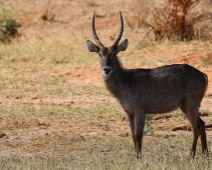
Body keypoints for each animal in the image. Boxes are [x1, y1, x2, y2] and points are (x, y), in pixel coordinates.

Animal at [86, 11, 209, 159]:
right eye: (100, 54)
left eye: (114, 53)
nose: (106, 69)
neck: (126, 80)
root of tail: (202, 74)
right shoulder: (129, 113)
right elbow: (133, 135)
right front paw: (135, 157)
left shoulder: (140, 111)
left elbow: (138, 135)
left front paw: (139, 158)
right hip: (184, 105)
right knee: (201, 124)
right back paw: (205, 153)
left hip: (191, 104)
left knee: (195, 127)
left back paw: (191, 155)